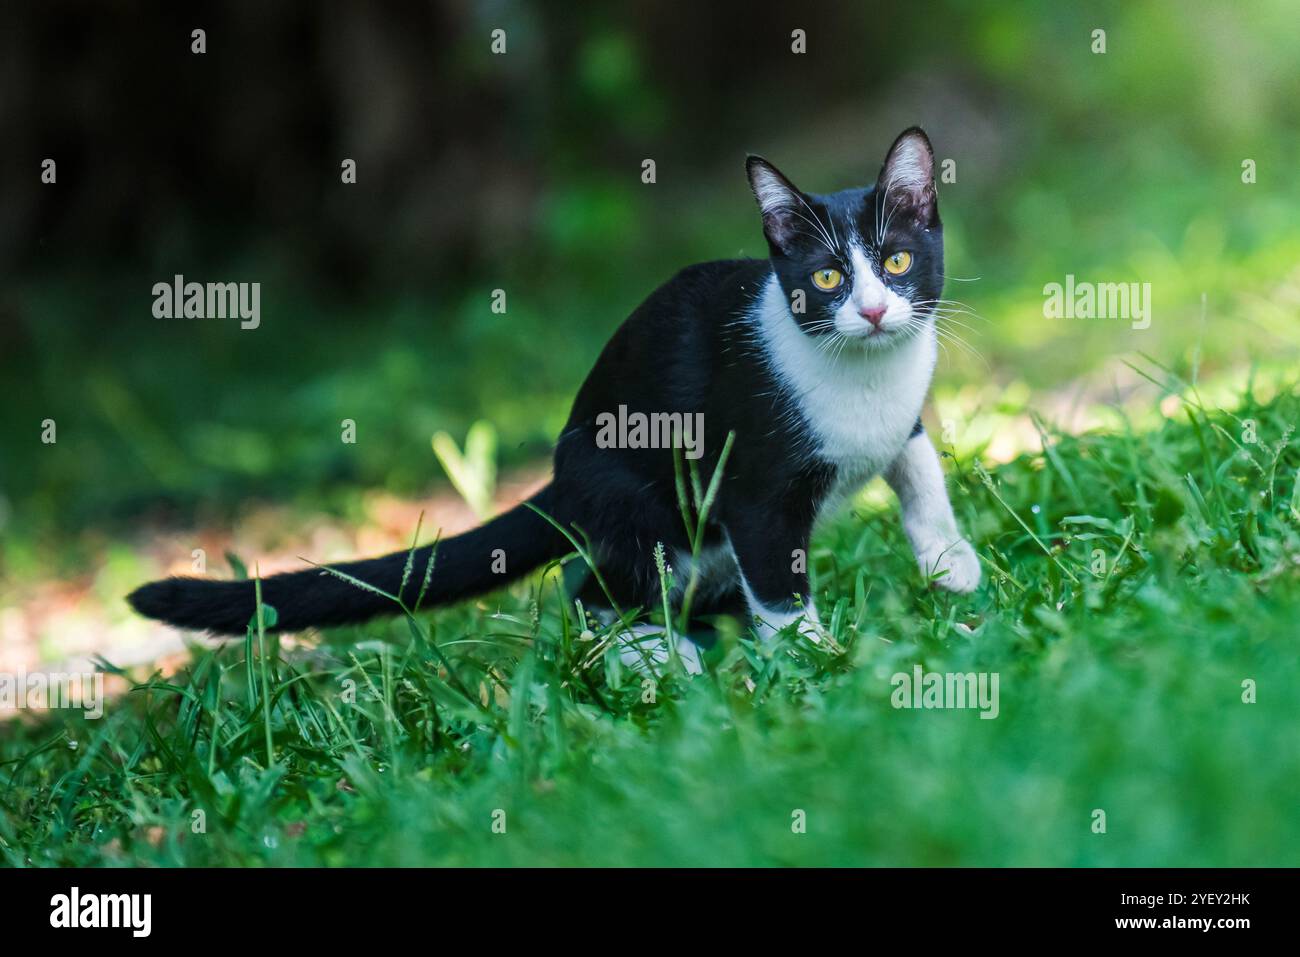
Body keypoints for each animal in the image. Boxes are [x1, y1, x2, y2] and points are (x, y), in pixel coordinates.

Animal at [129, 127, 977, 660]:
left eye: (897, 262)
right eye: (828, 277)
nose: (874, 310)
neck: (864, 375)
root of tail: (563, 475)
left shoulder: (900, 420)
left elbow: (920, 466)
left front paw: (950, 561)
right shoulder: (754, 484)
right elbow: (778, 579)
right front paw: (819, 658)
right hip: (641, 500)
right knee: (591, 589)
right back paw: (658, 655)